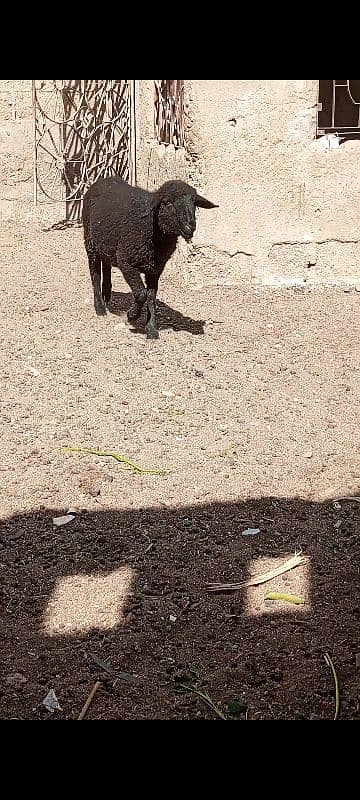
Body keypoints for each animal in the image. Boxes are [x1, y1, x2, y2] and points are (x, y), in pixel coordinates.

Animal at [82, 175, 217, 338]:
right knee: (95, 275)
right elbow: (141, 294)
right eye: (167, 202)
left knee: (106, 266)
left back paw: (106, 298)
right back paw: (100, 307)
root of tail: (103, 180)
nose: (189, 227)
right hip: (90, 243)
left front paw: (151, 330)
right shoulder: (126, 262)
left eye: (194, 202)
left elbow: (151, 298)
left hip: (106, 245)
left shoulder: (155, 269)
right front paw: (131, 315)